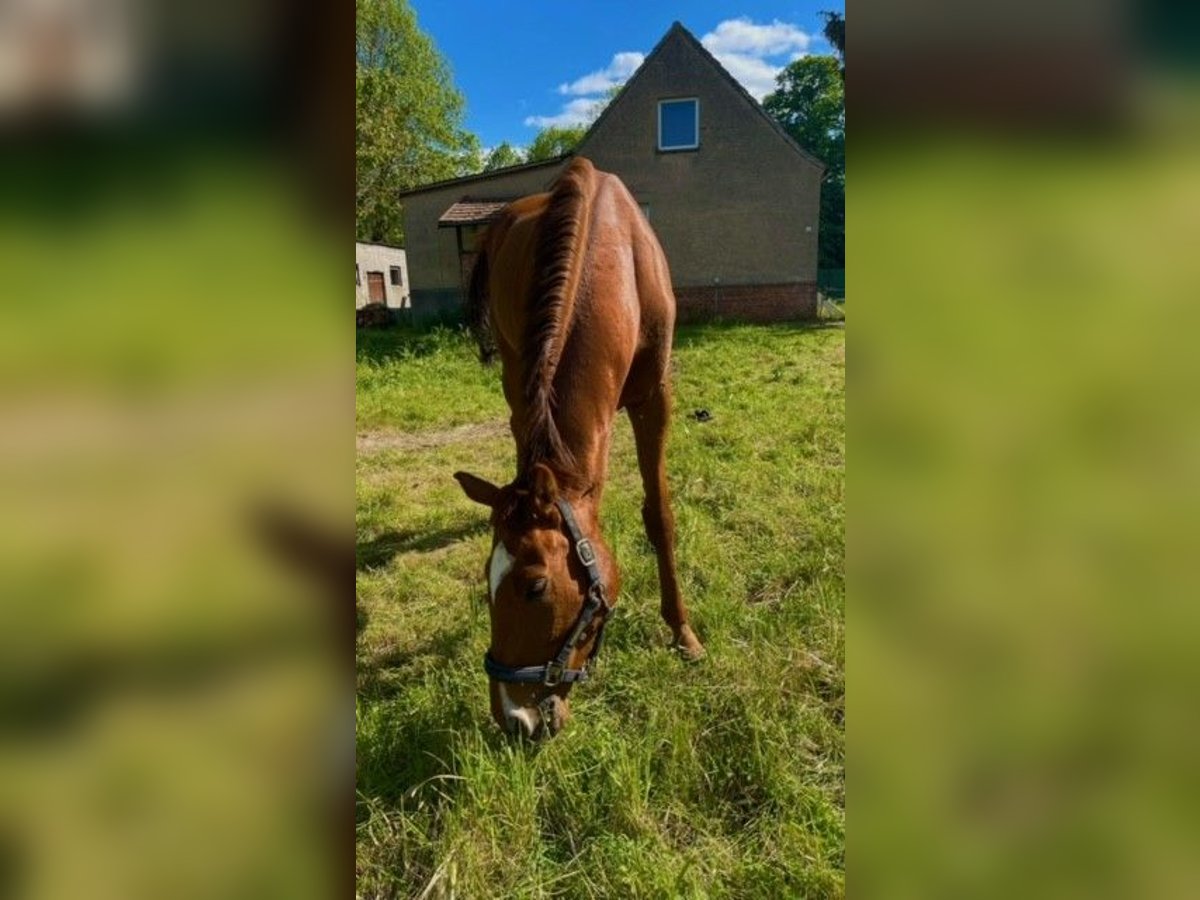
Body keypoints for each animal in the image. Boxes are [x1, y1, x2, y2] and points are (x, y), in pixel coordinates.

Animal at [456, 158, 700, 744]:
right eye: (485, 582)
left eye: (535, 587)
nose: (514, 721)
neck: (614, 254)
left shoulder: (655, 397)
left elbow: (660, 515)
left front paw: (683, 632)